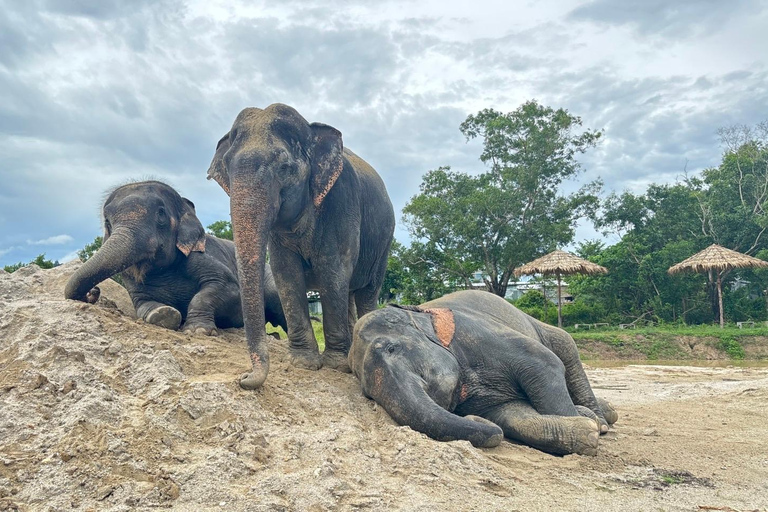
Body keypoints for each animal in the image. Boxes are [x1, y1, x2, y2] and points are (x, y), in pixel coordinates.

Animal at [65, 180, 287, 335]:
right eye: (108, 222)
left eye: (161, 214)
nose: (94, 292)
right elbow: (142, 304)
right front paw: (165, 314)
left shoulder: (199, 256)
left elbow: (228, 287)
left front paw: (198, 331)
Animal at [207, 103, 395, 389]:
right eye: (226, 167)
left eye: (285, 167)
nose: (243, 378)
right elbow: (286, 273)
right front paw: (304, 363)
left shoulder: (341, 201)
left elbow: (332, 270)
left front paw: (336, 366)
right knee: (350, 293)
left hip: (384, 242)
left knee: (367, 291)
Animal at [349, 290, 618, 456]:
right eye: (367, 393)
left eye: (392, 348)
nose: (472, 418)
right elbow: (512, 416)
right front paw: (586, 431)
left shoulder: (474, 332)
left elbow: (545, 364)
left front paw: (592, 426)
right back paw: (603, 413)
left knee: (566, 346)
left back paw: (602, 421)